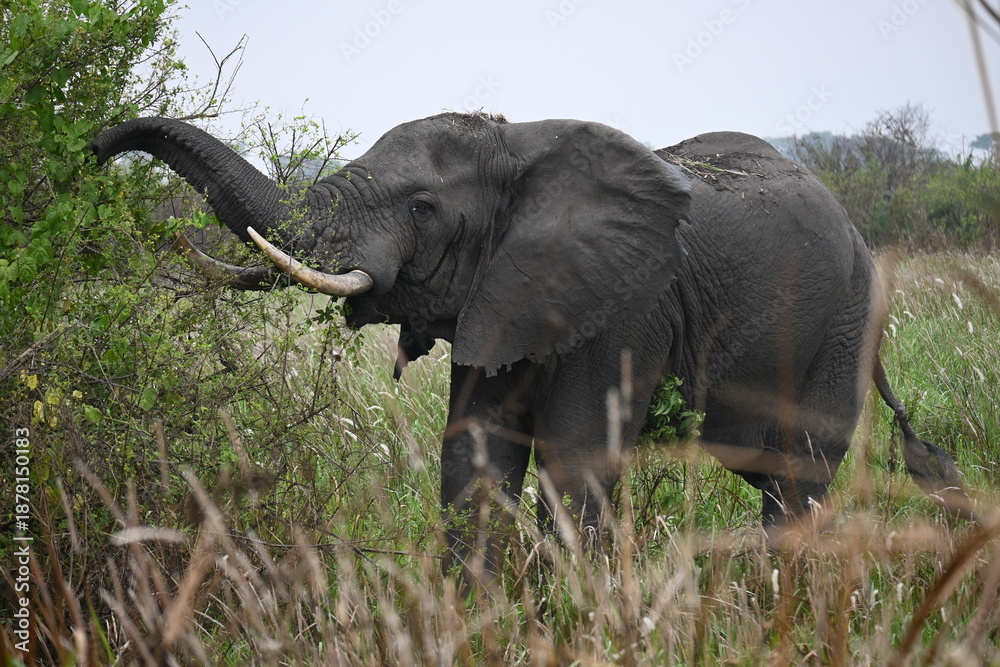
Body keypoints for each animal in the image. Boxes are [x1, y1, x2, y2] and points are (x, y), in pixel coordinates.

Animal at [91, 112, 972, 576]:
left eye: (422, 209)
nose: (96, 145)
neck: (520, 144)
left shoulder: (626, 306)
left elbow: (574, 459)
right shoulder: (504, 298)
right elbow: (473, 454)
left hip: (841, 322)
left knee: (799, 477)